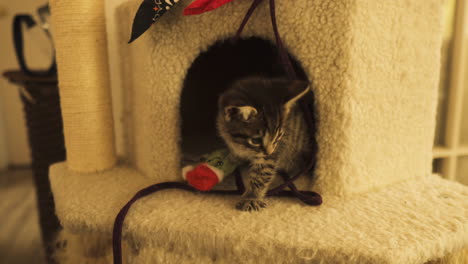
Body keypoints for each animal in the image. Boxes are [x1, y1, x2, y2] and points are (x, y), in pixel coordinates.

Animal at [217, 76, 312, 210]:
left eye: (278, 136)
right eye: (256, 140)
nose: (269, 152)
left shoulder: (274, 153)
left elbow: (261, 175)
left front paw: (251, 197)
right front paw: (234, 156)